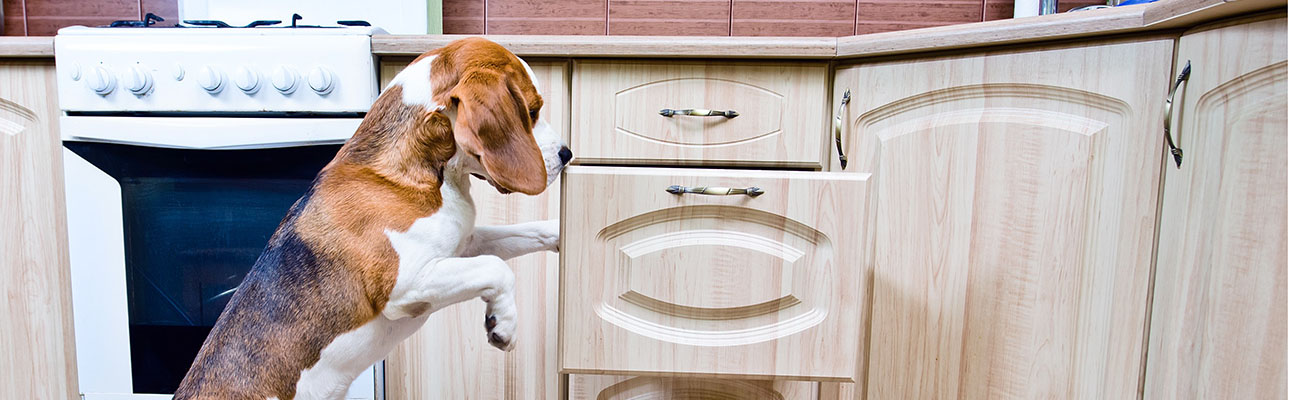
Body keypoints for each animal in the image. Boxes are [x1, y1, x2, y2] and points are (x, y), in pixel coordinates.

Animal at [175, 35, 575, 397]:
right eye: (532, 112)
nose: (567, 153)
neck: (418, 169)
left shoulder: (463, 244)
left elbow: (525, 233)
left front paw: (562, 234)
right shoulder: (407, 283)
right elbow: (497, 267)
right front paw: (503, 323)